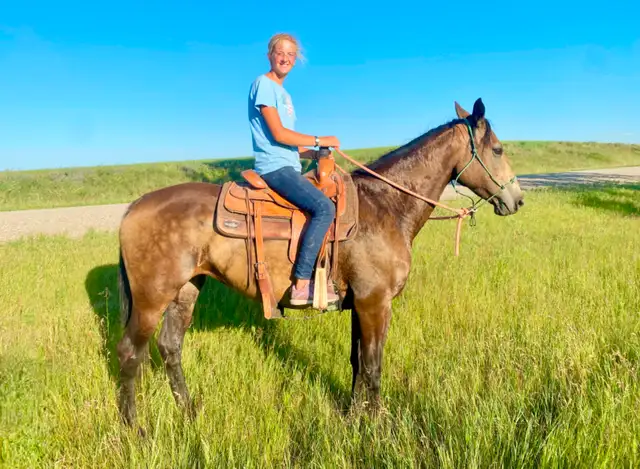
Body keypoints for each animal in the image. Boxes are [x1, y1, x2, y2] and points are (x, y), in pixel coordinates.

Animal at [115, 98, 524, 426]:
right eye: (498, 149)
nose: (517, 200)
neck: (385, 205)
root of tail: (132, 208)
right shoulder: (376, 303)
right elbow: (373, 366)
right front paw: (377, 426)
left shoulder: (361, 304)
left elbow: (358, 363)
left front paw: (353, 417)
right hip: (151, 297)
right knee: (130, 353)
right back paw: (135, 427)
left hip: (185, 290)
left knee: (170, 348)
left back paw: (188, 411)